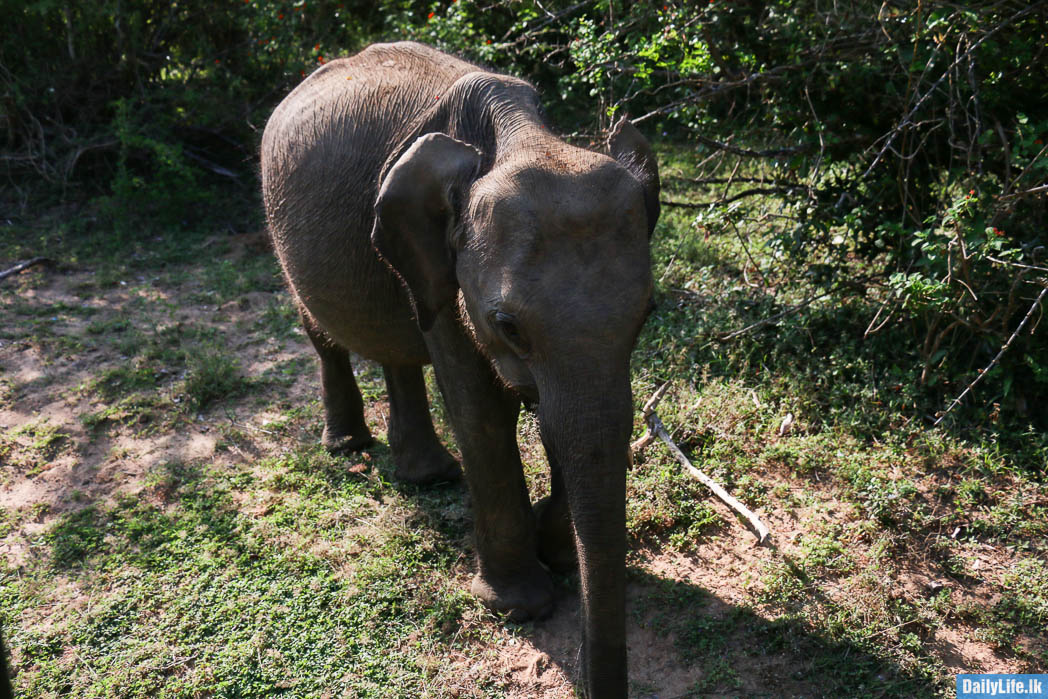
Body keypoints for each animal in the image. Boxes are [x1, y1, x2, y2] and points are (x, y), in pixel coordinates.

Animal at [260, 41, 659, 697]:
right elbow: (483, 410)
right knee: (323, 334)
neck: (518, 132)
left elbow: (556, 417)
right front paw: (520, 606)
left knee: (397, 354)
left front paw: (561, 556)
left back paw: (428, 476)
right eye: (508, 325)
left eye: (648, 314)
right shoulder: (442, 264)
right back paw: (348, 448)